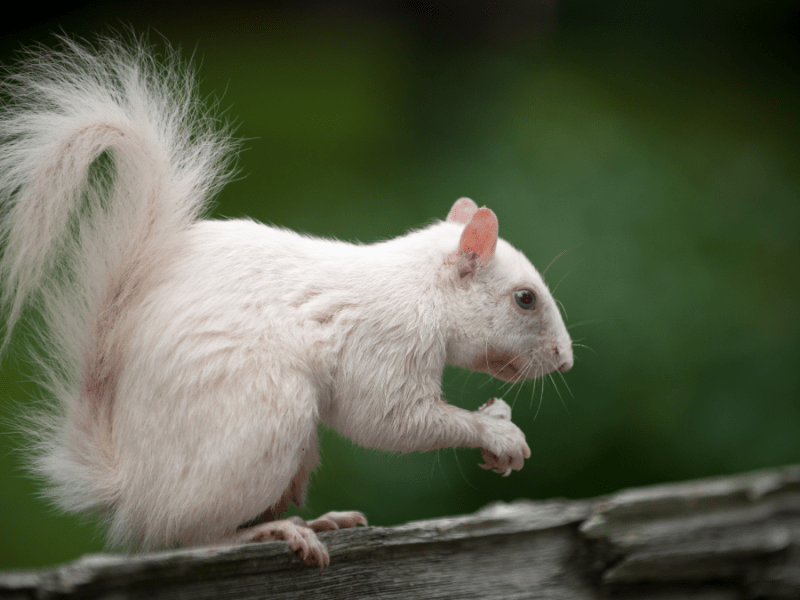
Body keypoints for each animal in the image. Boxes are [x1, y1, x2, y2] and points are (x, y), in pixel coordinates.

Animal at [1, 35, 576, 568]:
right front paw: (497, 433)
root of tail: (131, 485)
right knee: (191, 533)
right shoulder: (388, 343)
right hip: (265, 419)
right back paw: (269, 532)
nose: (566, 360)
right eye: (525, 299)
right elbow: (390, 419)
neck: (422, 289)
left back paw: (317, 520)